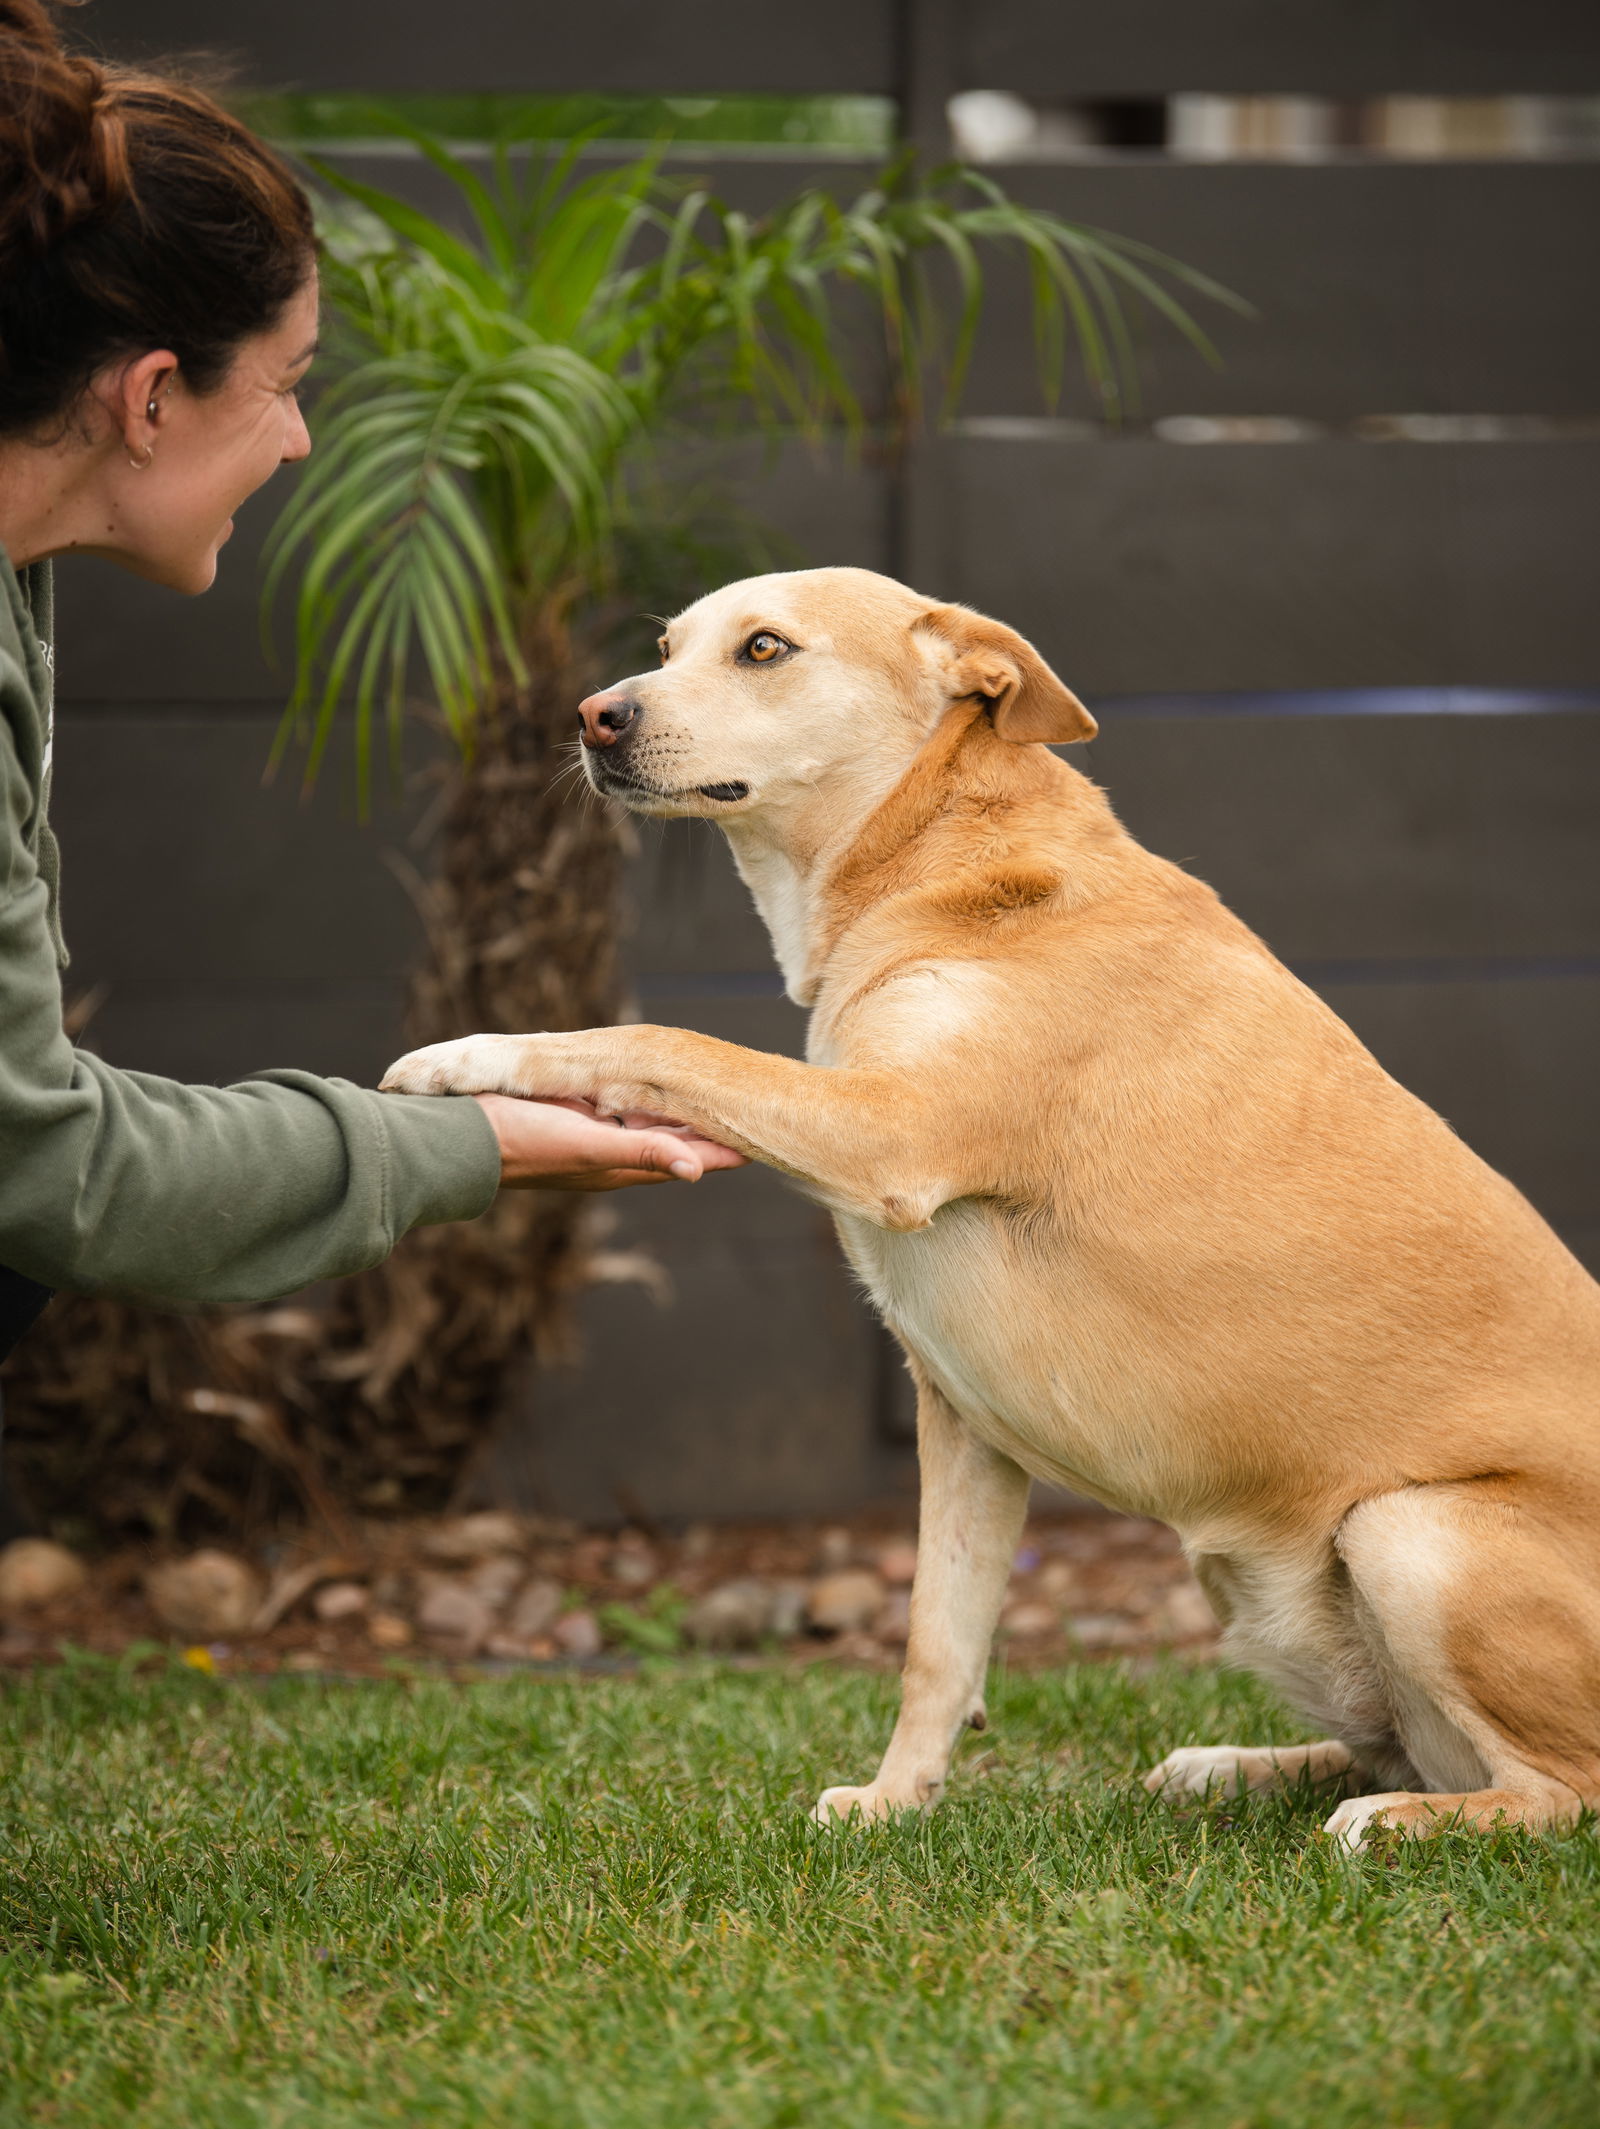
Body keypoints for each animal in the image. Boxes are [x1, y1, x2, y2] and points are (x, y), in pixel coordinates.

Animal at [387, 566, 1600, 1847]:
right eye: (666, 646)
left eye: (763, 648)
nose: (592, 716)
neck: (932, 851)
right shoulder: (958, 1417)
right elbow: (938, 1636)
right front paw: (894, 1801)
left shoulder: (890, 1128)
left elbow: (658, 1038)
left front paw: (471, 1053)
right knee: (1401, 1746)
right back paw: (1238, 1765)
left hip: (1406, 1533)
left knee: (1556, 1789)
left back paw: (1404, 1819)